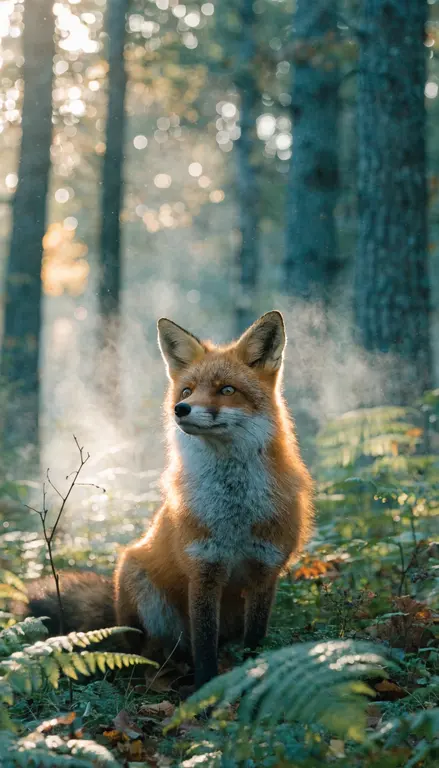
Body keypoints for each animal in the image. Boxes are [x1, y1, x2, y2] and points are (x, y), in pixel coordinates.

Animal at [26, 311, 313, 689]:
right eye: (187, 390)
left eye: (227, 390)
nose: (181, 408)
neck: (234, 513)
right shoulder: (203, 570)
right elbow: (204, 648)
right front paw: (205, 694)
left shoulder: (265, 572)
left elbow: (254, 643)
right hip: (139, 583)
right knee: (152, 652)